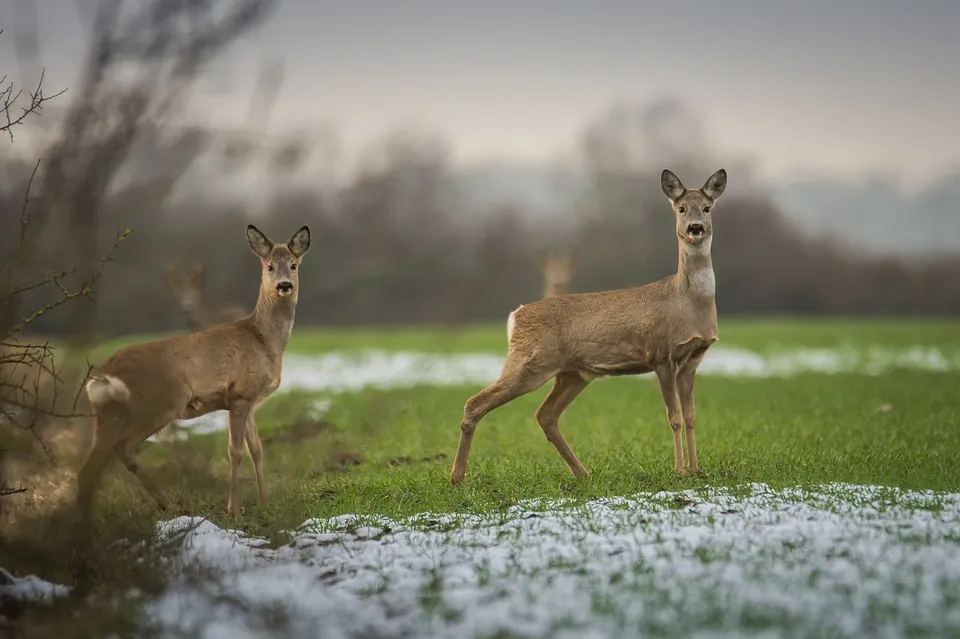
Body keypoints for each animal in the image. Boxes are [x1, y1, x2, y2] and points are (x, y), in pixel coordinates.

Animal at [78, 224, 311, 520]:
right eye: (269, 266)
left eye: (293, 265)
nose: (284, 285)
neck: (263, 340)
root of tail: (103, 374)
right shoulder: (239, 395)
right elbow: (235, 451)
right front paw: (234, 510)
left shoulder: (248, 400)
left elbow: (256, 449)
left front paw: (265, 503)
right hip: (161, 402)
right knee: (122, 448)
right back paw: (162, 507)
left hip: (109, 414)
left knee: (90, 468)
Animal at [450, 168, 727, 486]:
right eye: (681, 208)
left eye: (706, 208)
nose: (695, 228)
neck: (688, 302)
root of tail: (515, 316)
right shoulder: (661, 355)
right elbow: (675, 418)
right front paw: (679, 471)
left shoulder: (693, 358)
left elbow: (692, 417)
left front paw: (696, 470)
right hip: (529, 362)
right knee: (475, 402)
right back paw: (457, 478)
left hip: (572, 374)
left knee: (545, 415)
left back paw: (583, 474)